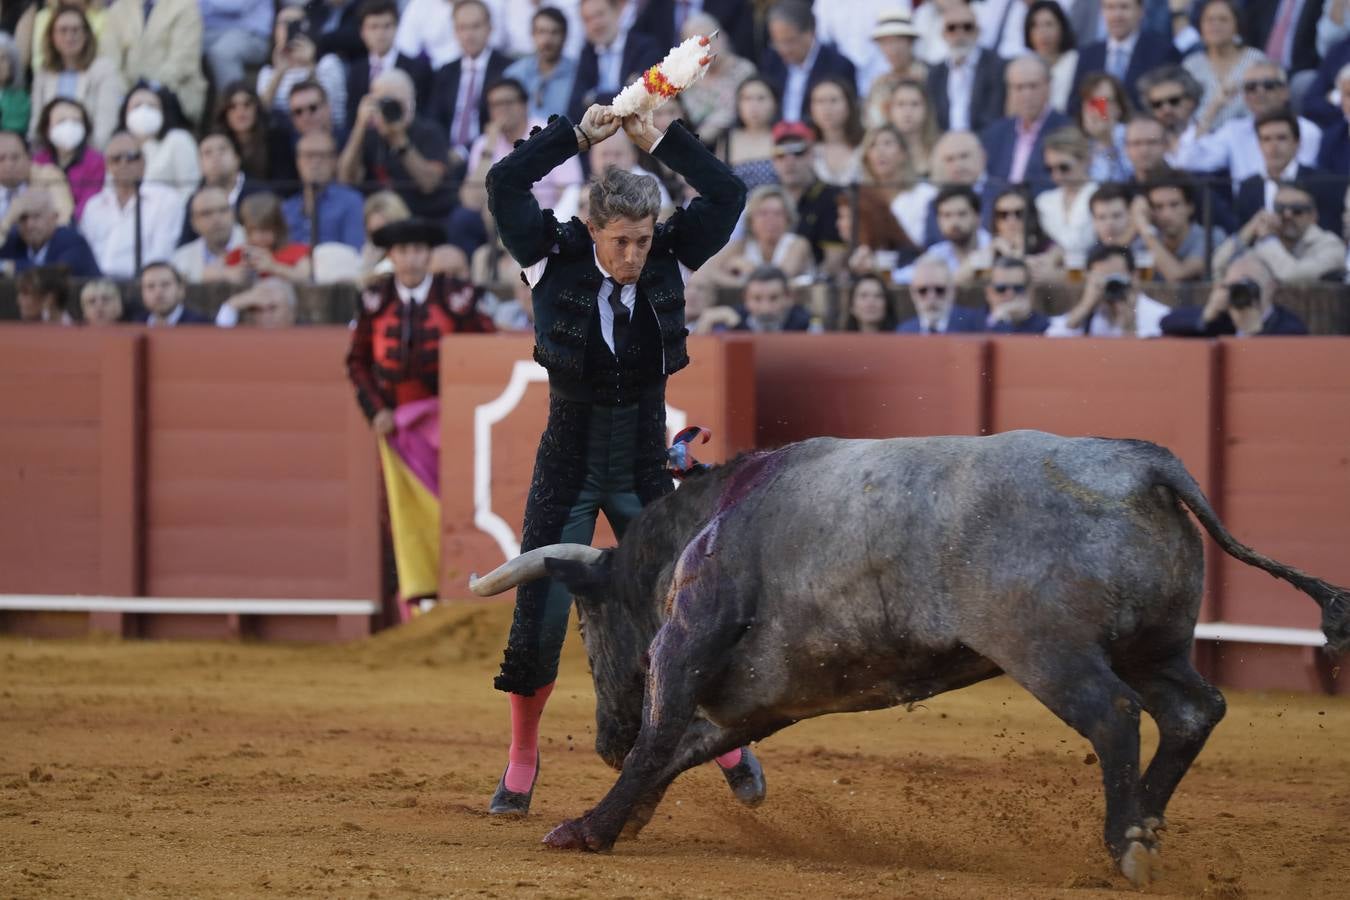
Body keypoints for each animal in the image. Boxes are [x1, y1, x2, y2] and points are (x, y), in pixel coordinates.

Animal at [469, 431, 1344, 890]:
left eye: (586, 626)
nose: (604, 739)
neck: (706, 522)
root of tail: (1144, 464)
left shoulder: (688, 636)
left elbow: (661, 737)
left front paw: (585, 828)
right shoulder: (767, 698)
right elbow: (682, 748)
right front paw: (626, 816)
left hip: (1050, 652)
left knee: (1115, 717)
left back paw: (1124, 843)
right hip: (1151, 645)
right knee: (1194, 708)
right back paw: (1150, 830)